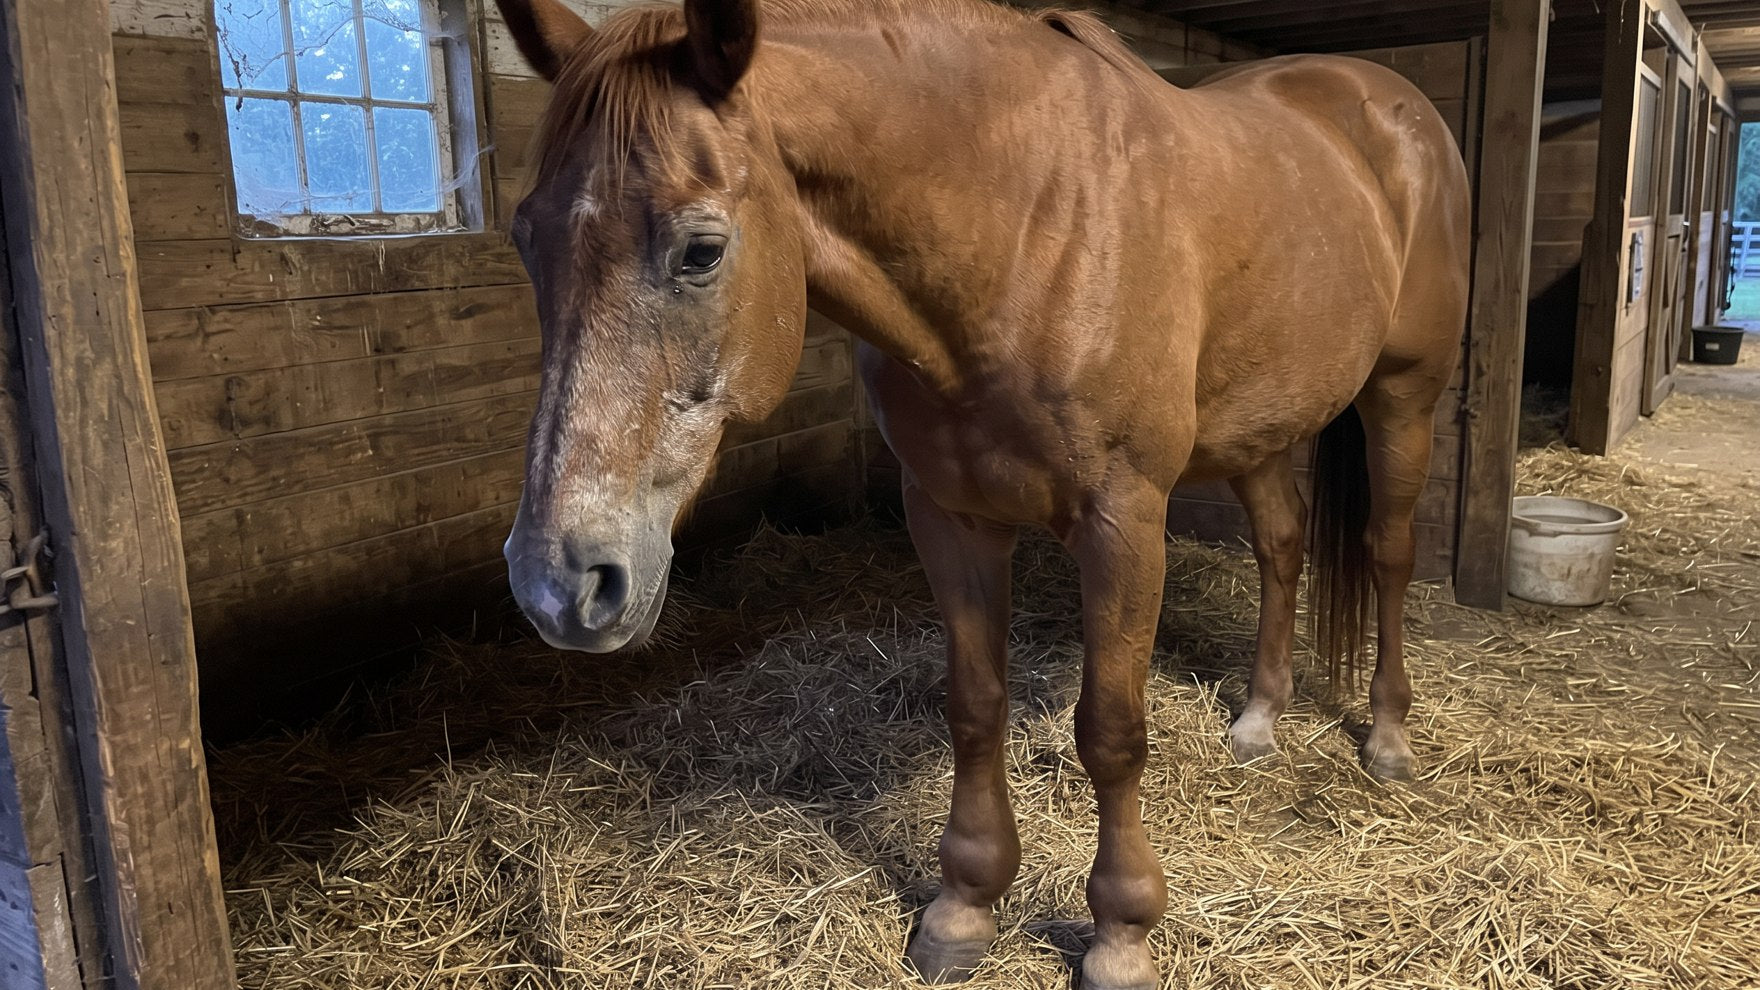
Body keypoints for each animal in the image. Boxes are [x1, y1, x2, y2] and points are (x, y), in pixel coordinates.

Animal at [491, 0, 1470, 986]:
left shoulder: (1124, 521)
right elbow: (974, 706)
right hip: (1259, 422)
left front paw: (1121, 936)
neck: (1022, 231)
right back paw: (1262, 718)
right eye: (526, 237)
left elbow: (1111, 731)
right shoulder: (950, 515)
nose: (558, 585)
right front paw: (964, 907)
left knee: (1387, 554)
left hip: (1405, 396)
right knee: (1282, 542)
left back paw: (1387, 738)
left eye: (701, 251)